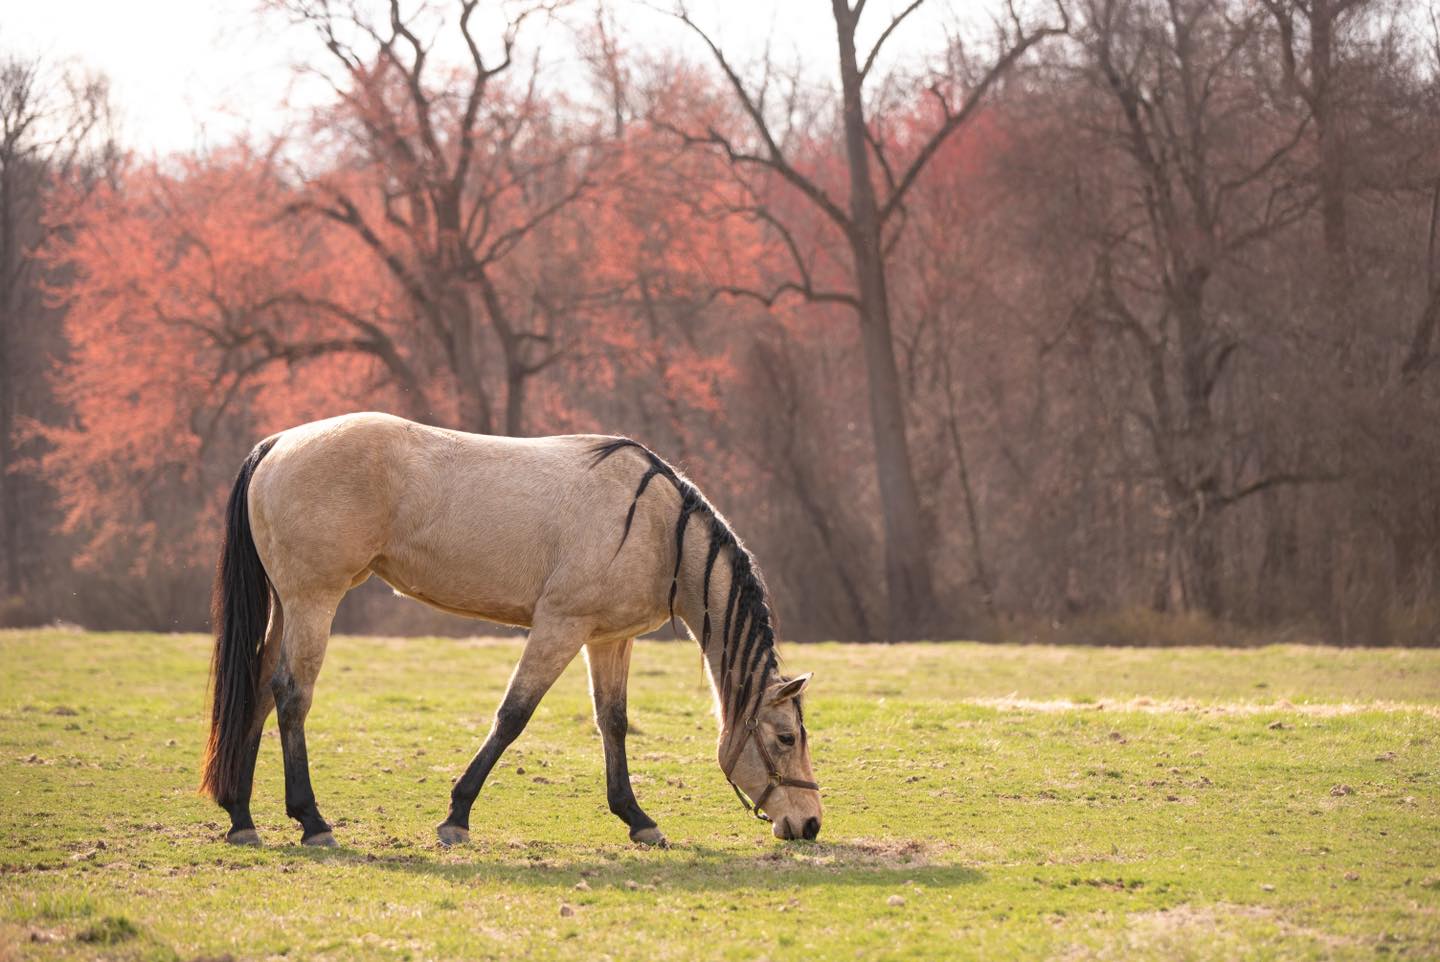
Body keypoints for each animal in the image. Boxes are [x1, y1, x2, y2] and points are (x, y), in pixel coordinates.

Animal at [199, 412, 822, 848]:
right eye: (786, 738)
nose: (810, 822)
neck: (655, 524)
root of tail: (278, 443)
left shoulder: (607, 639)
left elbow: (613, 723)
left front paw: (637, 819)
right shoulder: (560, 627)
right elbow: (513, 715)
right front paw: (456, 816)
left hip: (289, 606)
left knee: (257, 690)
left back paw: (242, 819)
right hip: (314, 601)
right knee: (292, 695)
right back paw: (312, 821)